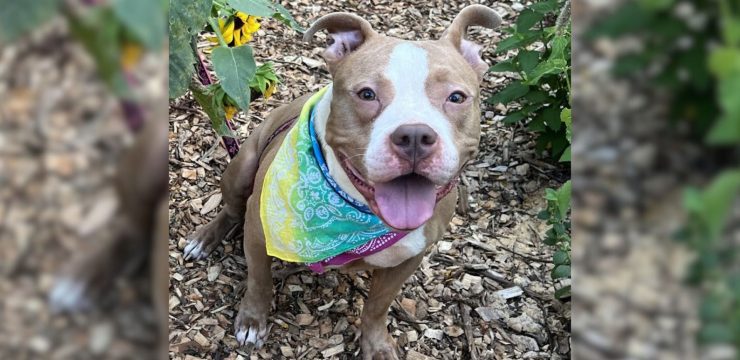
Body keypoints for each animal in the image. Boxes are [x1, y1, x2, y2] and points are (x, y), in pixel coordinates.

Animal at [184, 4, 502, 358]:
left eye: (457, 97)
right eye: (367, 94)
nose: (415, 135)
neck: (357, 214)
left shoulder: (409, 259)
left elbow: (377, 306)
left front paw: (376, 344)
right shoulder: (257, 228)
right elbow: (259, 279)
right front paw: (253, 320)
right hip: (241, 169)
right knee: (231, 208)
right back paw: (204, 239)